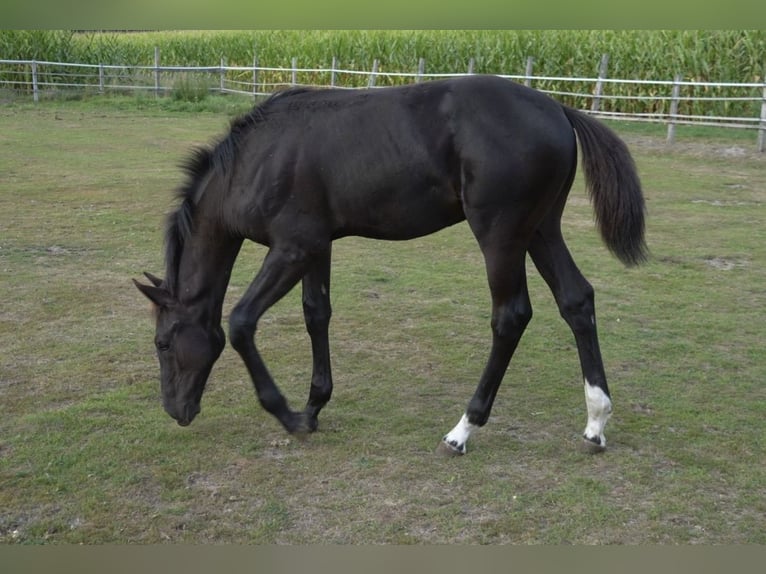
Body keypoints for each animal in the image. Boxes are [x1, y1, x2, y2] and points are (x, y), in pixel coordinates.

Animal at [134, 74, 646, 455]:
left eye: (162, 343)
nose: (175, 410)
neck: (256, 160)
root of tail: (558, 109)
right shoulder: (316, 247)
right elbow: (316, 314)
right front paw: (314, 407)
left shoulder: (292, 249)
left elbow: (241, 323)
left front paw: (289, 415)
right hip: (541, 231)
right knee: (576, 300)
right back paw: (596, 422)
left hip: (500, 236)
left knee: (511, 316)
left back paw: (463, 430)